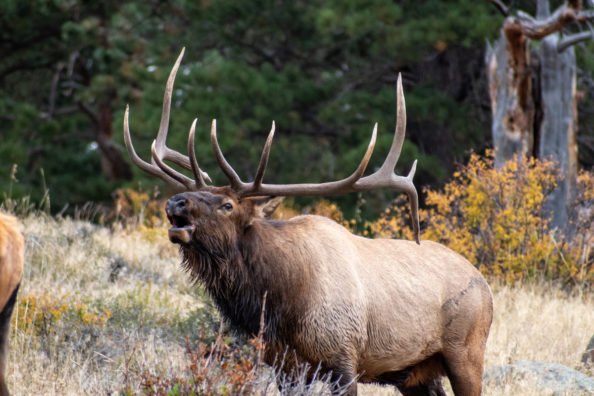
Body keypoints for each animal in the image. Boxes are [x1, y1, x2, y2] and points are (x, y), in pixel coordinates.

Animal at [122, 49, 492, 396]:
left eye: (228, 204)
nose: (176, 202)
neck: (281, 304)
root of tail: (486, 284)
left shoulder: (344, 356)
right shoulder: (283, 365)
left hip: (467, 350)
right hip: (415, 372)